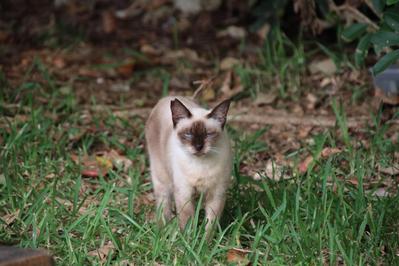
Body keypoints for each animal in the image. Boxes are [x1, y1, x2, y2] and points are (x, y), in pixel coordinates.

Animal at [145, 96, 233, 234]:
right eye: (189, 134)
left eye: (208, 134)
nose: (198, 146)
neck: (200, 165)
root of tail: (165, 98)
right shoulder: (184, 193)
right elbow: (187, 223)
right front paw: (189, 239)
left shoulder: (216, 194)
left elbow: (210, 226)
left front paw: (206, 240)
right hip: (162, 181)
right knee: (163, 208)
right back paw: (161, 233)